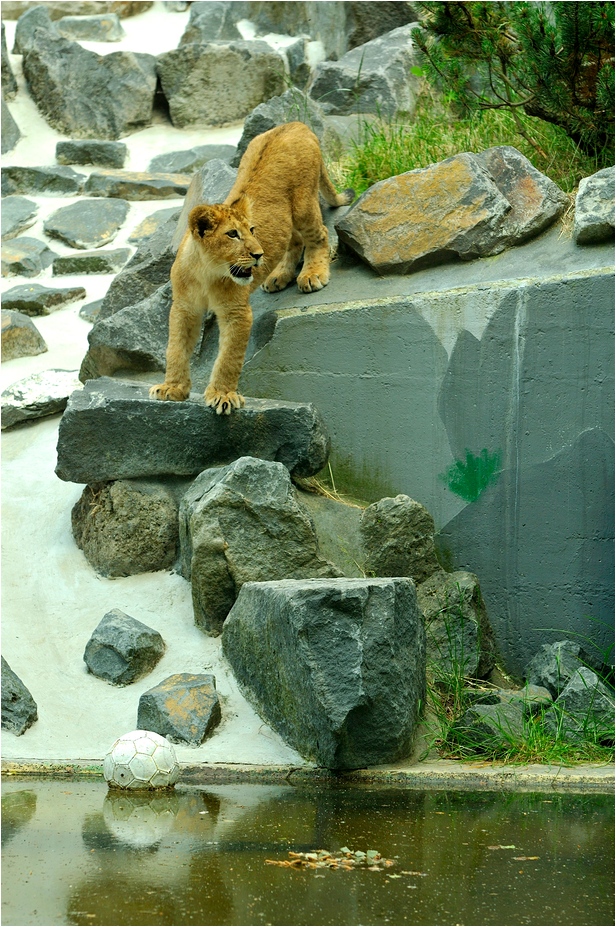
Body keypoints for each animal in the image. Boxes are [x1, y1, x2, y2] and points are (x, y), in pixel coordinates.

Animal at [149, 121, 354, 414]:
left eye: (253, 230)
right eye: (233, 234)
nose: (259, 254)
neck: (206, 272)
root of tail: (296, 124)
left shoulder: (236, 312)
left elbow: (229, 357)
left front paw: (223, 395)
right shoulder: (184, 308)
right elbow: (175, 348)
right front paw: (172, 388)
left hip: (304, 203)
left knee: (319, 234)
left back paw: (312, 274)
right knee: (293, 239)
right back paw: (279, 275)